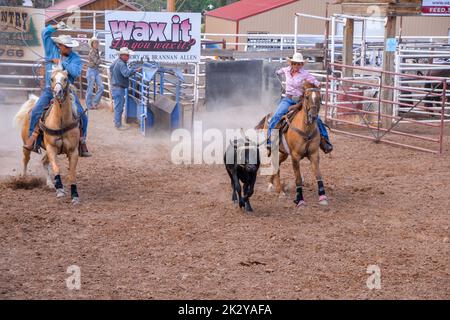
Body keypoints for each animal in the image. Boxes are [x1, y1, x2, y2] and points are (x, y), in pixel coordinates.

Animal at [13, 66, 82, 204]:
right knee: (26, 159)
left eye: (65, 78)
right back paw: (24, 179)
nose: (57, 92)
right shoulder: (51, 148)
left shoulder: (73, 151)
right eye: (52, 79)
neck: (61, 121)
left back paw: (50, 184)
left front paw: (74, 195)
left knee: (44, 162)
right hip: (27, 145)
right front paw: (60, 190)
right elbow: (56, 168)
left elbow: (72, 173)